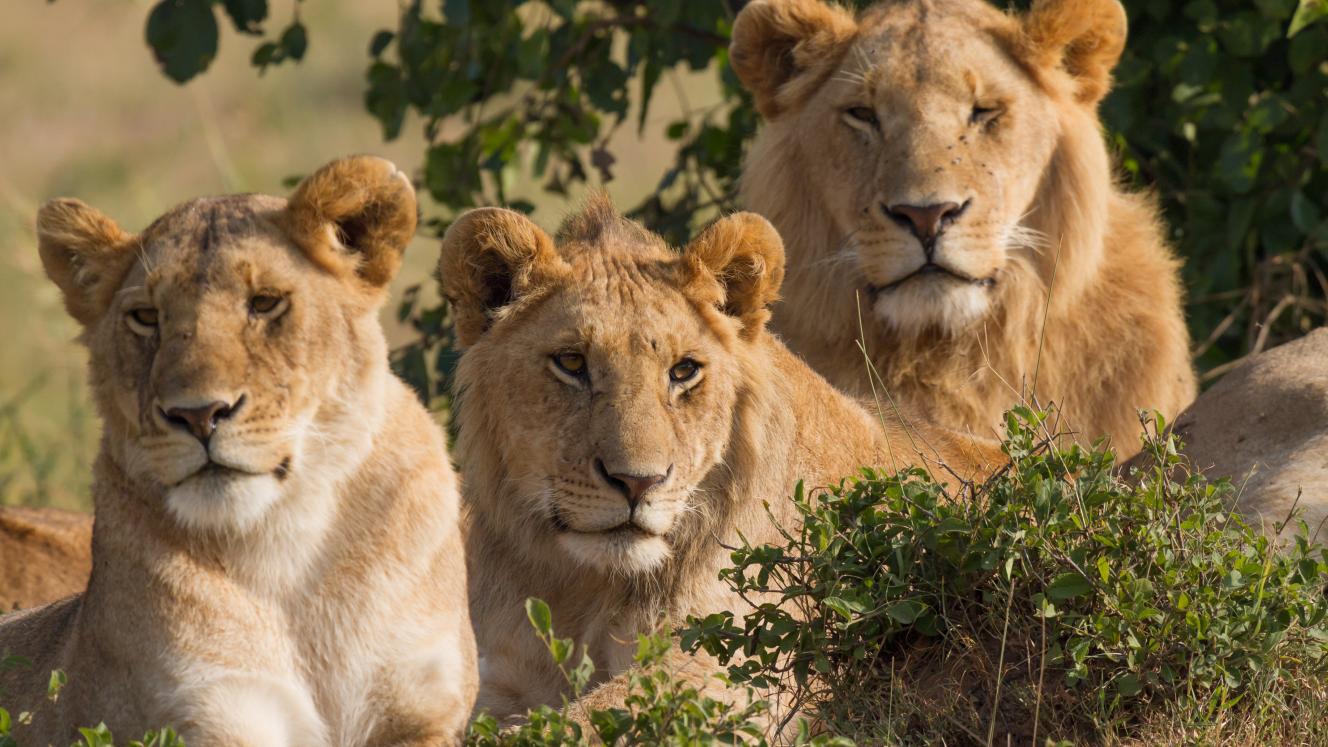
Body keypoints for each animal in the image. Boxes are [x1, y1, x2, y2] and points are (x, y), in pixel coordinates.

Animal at [0, 156, 477, 746]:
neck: (288, 550)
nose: (198, 414)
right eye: (146, 317)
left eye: (264, 302)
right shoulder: (206, 710)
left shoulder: (423, 709)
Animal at [437, 196, 1005, 727]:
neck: (586, 588)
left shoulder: (736, 665)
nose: (637, 483)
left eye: (683, 370)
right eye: (571, 363)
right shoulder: (498, 673)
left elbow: (583, 722)